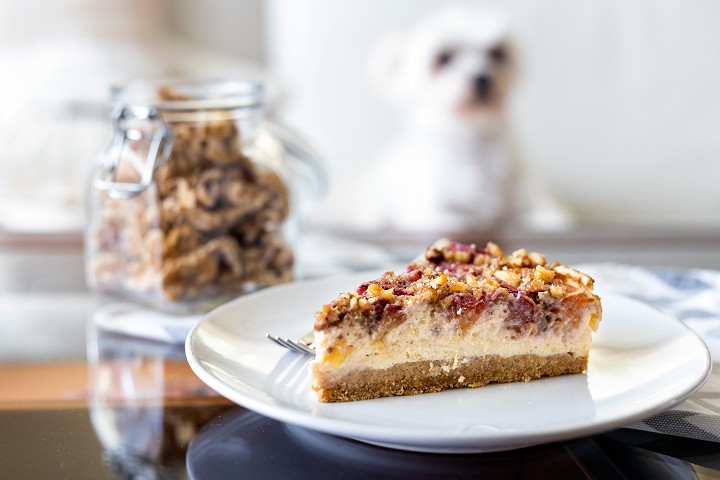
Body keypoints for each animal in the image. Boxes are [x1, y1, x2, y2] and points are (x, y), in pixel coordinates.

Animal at [358, 7, 572, 232]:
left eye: (496, 53)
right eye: (443, 58)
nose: (481, 78)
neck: (473, 138)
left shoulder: (528, 199)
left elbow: (553, 217)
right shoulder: (430, 209)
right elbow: (456, 219)